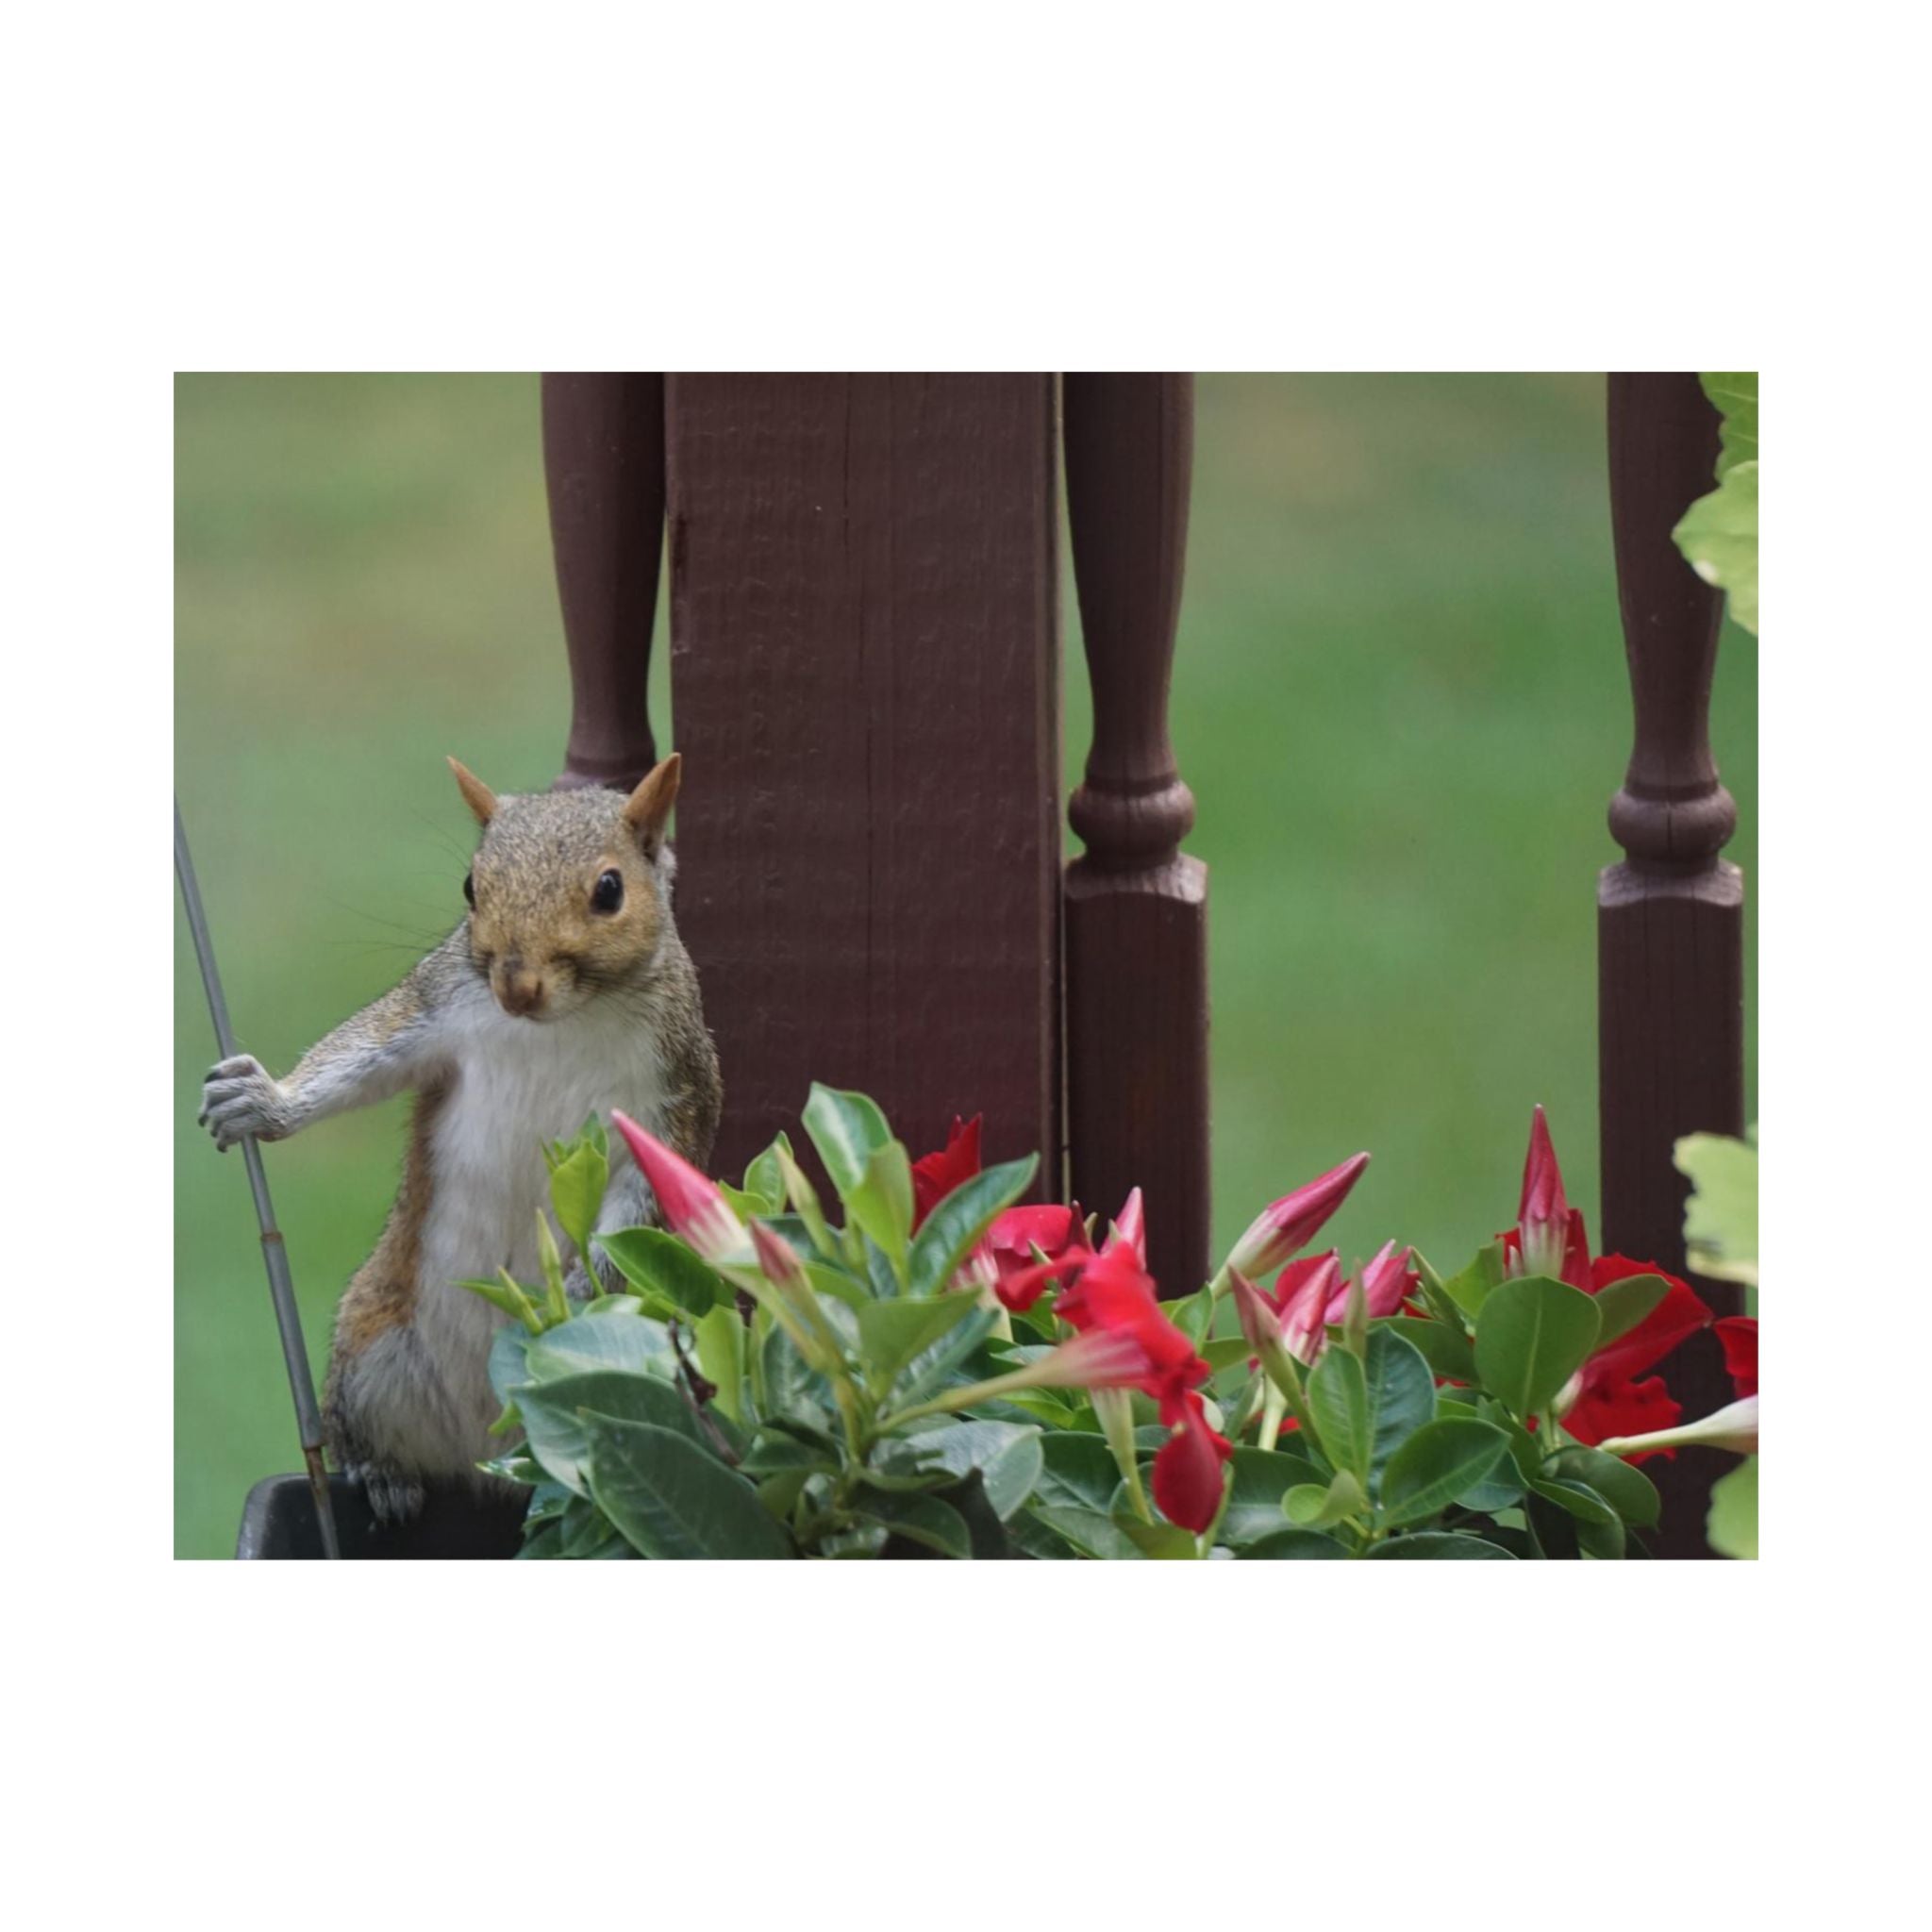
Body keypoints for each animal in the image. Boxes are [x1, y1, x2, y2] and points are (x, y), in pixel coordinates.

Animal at [198, 752, 722, 1522]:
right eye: (472, 886)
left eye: (610, 890)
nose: (516, 987)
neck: (564, 1020)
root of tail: (489, 1455)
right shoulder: (440, 1005)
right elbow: (359, 1059)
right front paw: (263, 1102)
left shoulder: (675, 1096)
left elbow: (644, 1198)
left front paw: (577, 1281)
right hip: (371, 1350)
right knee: (372, 1437)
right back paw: (384, 1478)